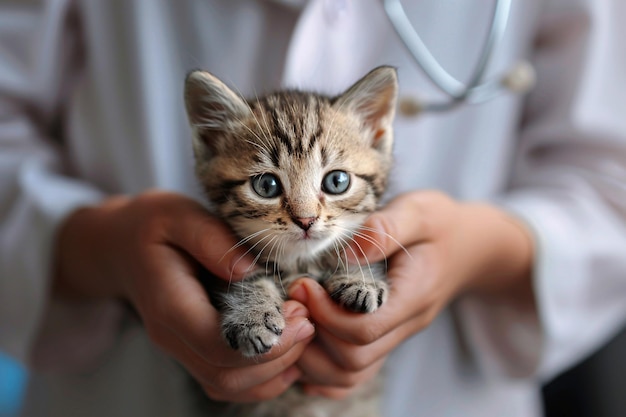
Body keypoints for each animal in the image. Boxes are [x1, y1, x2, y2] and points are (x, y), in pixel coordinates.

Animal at [182, 66, 394, 416]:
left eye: (337, 181)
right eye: (266, 185)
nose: (306, 220)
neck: (299, 263)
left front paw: (359, 278)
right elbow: (242, 278)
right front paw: (252, 316)